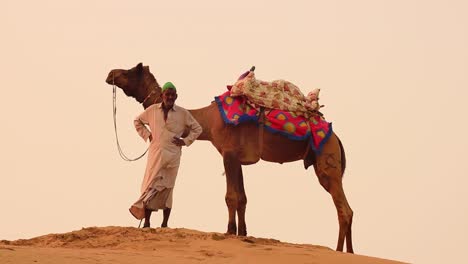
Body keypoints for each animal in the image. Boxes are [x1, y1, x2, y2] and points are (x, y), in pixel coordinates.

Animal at [105, 63, 354, 253]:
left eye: (129, 71)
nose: (110, 74)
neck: (208, 120)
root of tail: (336, 138)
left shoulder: (229, 153)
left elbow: (231, 197)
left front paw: (229, 231)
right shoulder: (238, 158)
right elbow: (242, 198)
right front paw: (242, 233)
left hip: (327, 158)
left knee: (344, 209)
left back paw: (343, 251)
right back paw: (345, 251)